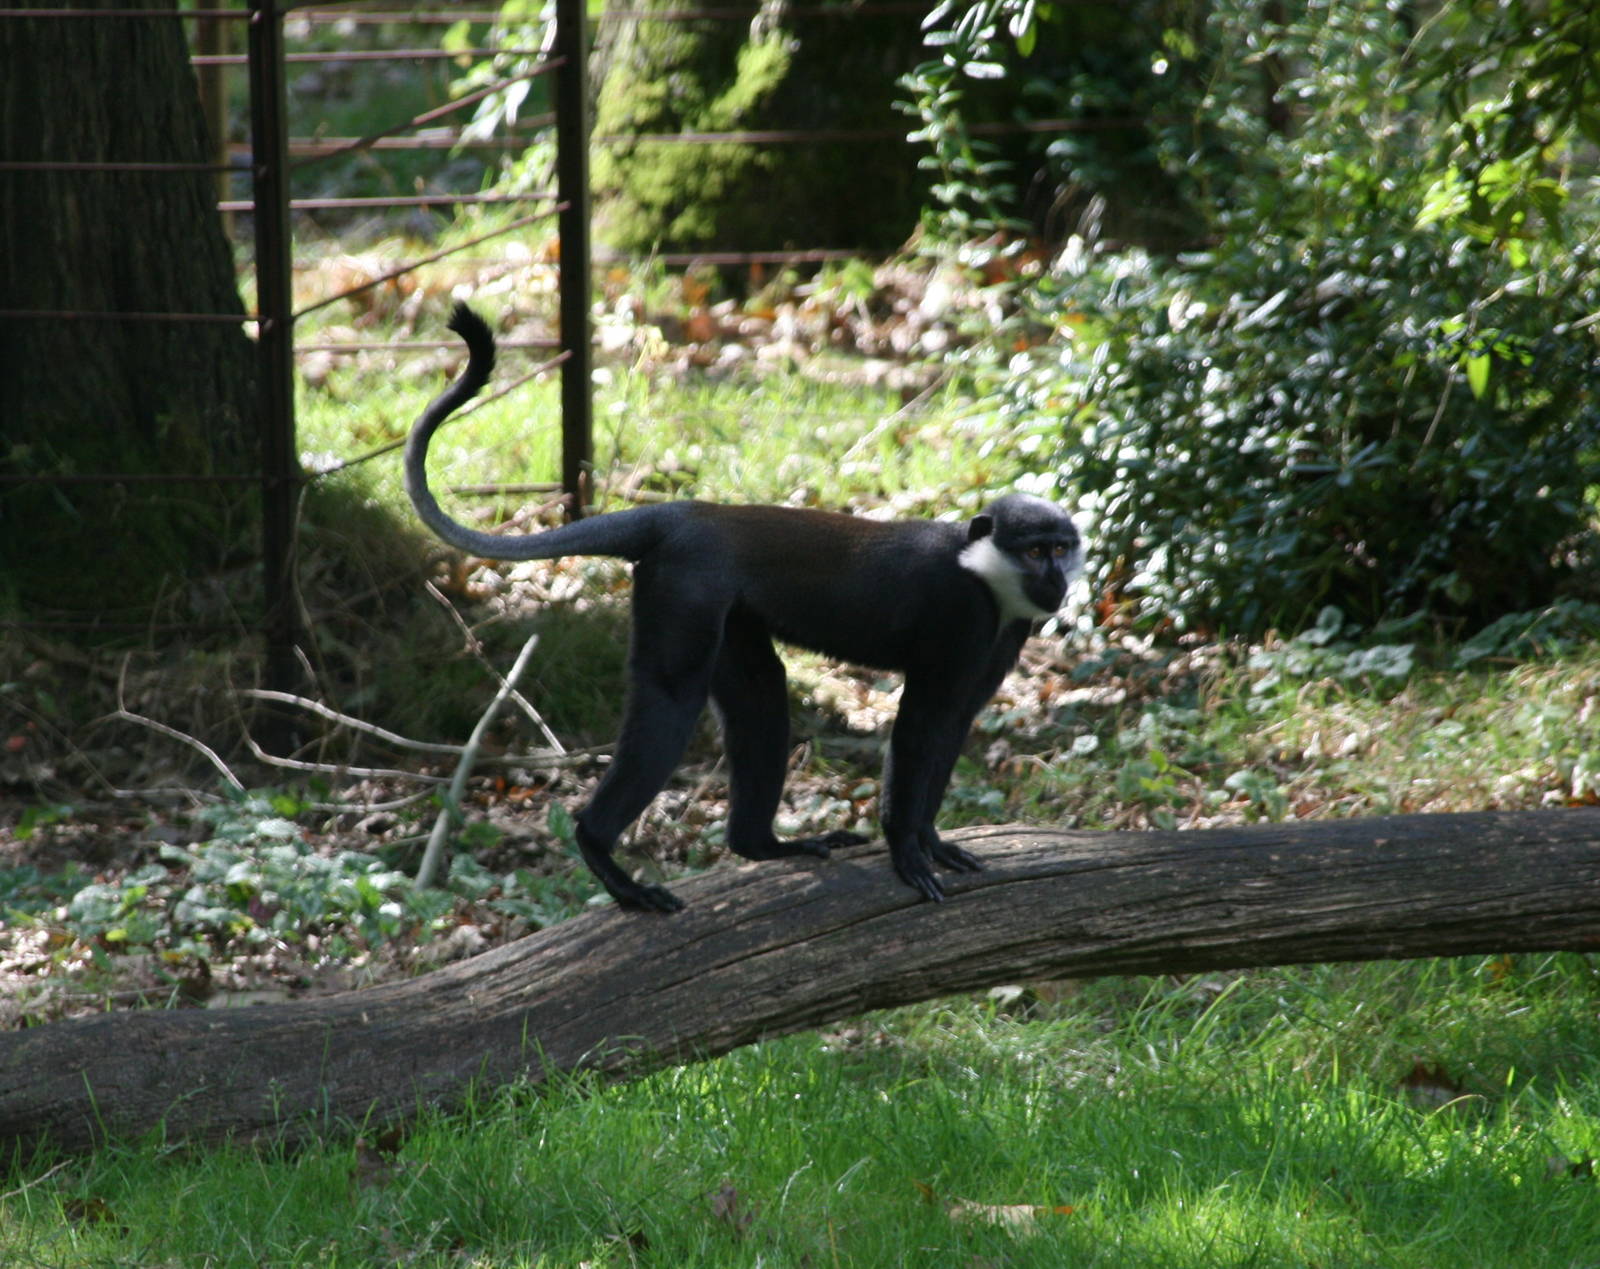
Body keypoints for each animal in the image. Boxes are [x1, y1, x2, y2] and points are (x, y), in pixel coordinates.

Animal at [405, 303, 1083, 913]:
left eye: (1061, 548)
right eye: (1035, 550)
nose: (1056, 578)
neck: (984, 571)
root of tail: (686, 516)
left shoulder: (1005, 632)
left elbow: (956, 721)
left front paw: (931, 841)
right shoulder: (958, 618)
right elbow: (923, 723)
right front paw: (907, 851)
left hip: (723, 615)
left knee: (761, 690)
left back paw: (761, 845)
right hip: (682, 594)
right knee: (673, 698)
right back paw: (604, 851)